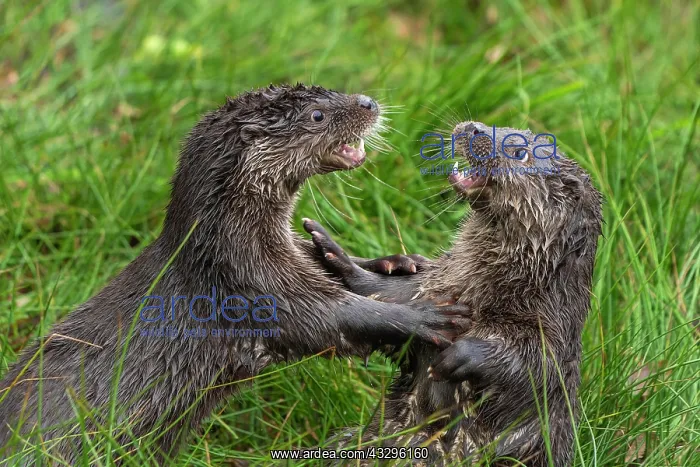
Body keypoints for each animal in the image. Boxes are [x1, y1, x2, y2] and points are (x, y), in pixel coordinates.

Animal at [0, 84, 470, 463]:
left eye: (333, 90)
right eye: (317, 115)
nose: (369, 102)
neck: (230, 248)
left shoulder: (288, 259)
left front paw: (393, 263)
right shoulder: (257, 286)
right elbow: (335, 318)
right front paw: (424, 317)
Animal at [304, 121, 603, 466]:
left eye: (519, 152)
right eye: (503, 127)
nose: (473, 128)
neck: (479, 290)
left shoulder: (554, 328)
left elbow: (535, 363)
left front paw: (460, 356)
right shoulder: (433, 284)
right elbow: (390, 293)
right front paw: (339, 255)